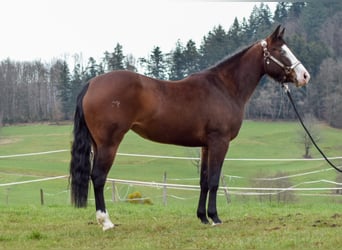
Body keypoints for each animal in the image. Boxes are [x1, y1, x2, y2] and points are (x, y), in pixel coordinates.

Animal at [69, 25, 310, 230]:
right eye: (280, 50)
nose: (304, 76)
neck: (224, 87)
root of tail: (91, 83)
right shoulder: (219, 142)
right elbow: (214, 180)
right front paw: (215, 218)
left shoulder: (206, 146)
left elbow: (203, 181)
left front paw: (202, 217)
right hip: (109, 143)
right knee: (98, 177)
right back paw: (106, 222)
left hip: (98, 144)